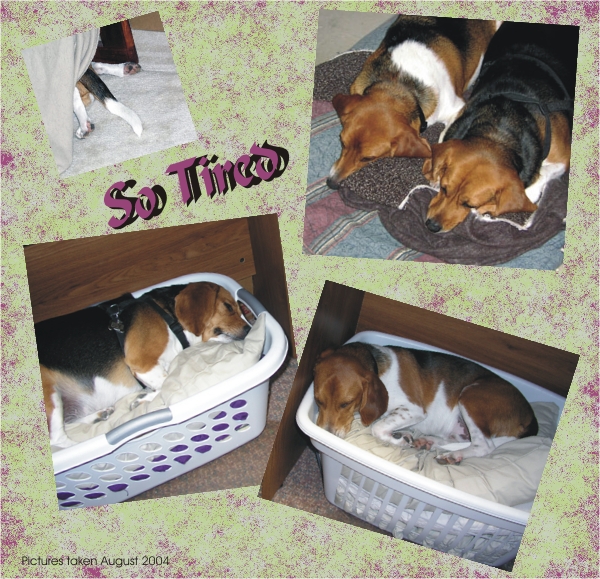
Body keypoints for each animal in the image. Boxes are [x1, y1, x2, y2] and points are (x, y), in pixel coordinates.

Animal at [35, 280, 251, 448]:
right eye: (228, 306)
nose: (249, 329)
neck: (169, 317)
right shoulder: (141, 362)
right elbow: (166, 382)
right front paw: (144, 398)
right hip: (49, 391)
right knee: (57, 439)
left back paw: (99, 415)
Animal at [312, 342, 536, 464]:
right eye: (318, 400)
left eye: (346, 403)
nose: (327, 433)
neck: (376, 364)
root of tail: (530, 415)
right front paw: (405, 438)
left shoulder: (414, 410)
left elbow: (377, 428)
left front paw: (399, 441)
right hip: (459, 426)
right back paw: (427, 442)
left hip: (471, 396)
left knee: (484, 446)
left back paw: (452, 455)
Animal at [326, 15, 500, 188]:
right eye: (342, 142)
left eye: (367, 158)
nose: (331, 183)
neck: (398, 84)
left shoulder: (457, 109)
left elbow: (444, 135)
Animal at [424, 22, 580, 233]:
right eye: (444, 188)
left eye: (469, 204)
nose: (432, 226)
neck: (499, 131)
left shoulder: (563, 159)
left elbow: (540, 179)